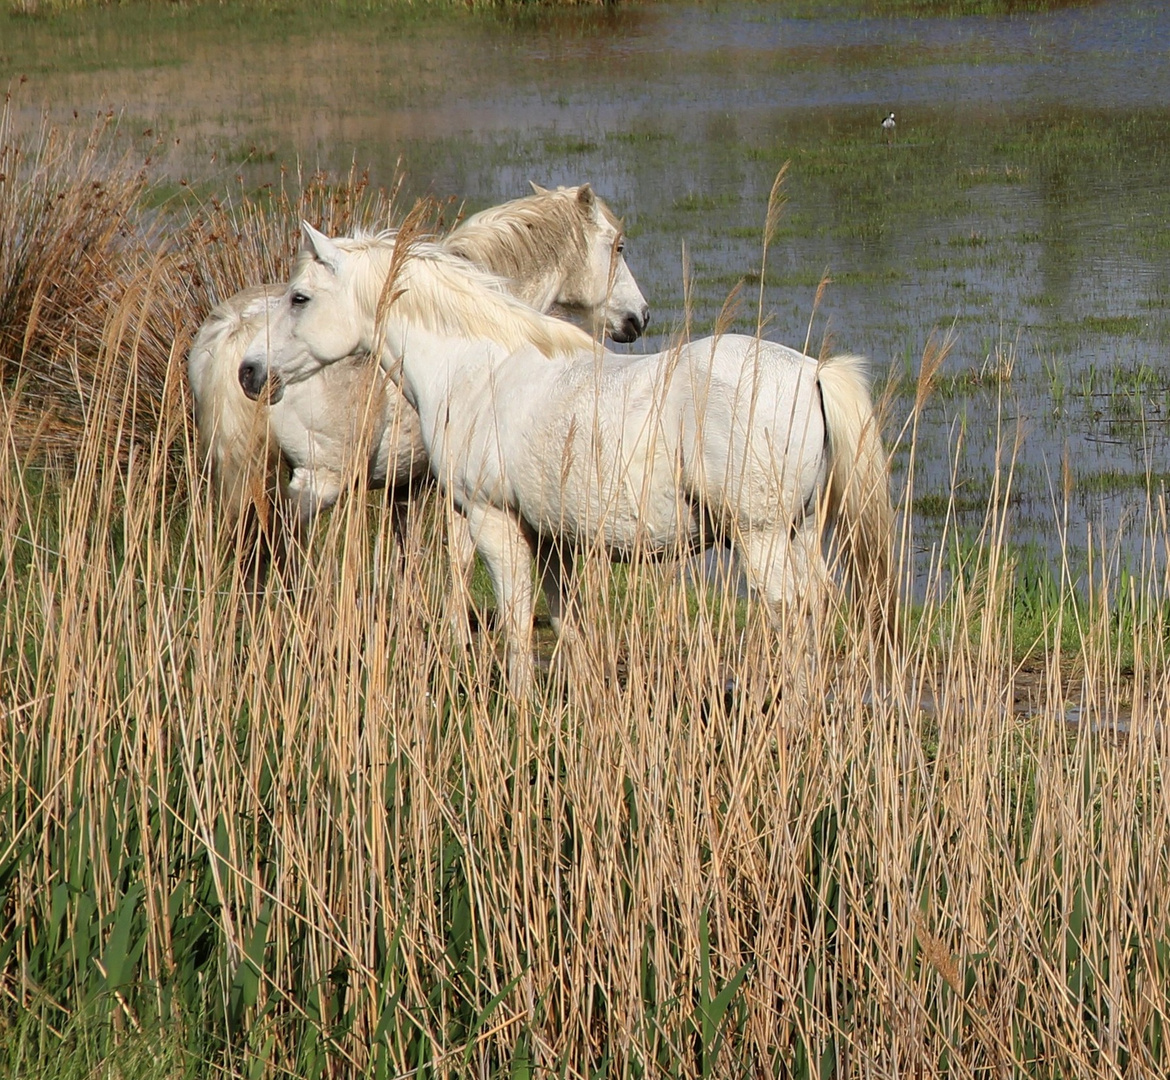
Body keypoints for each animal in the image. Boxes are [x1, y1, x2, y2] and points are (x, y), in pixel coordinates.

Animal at [239, 224, 893, 697]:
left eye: (299, 298)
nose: (249, 372)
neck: (480, 367)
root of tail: (811, 372)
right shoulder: (552, 537)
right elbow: (565, 622)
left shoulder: (494, 521)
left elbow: (517, 621)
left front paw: (520, 708)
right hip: (798, 532)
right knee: (816, 610)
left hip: (762, 539)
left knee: (793, 616)